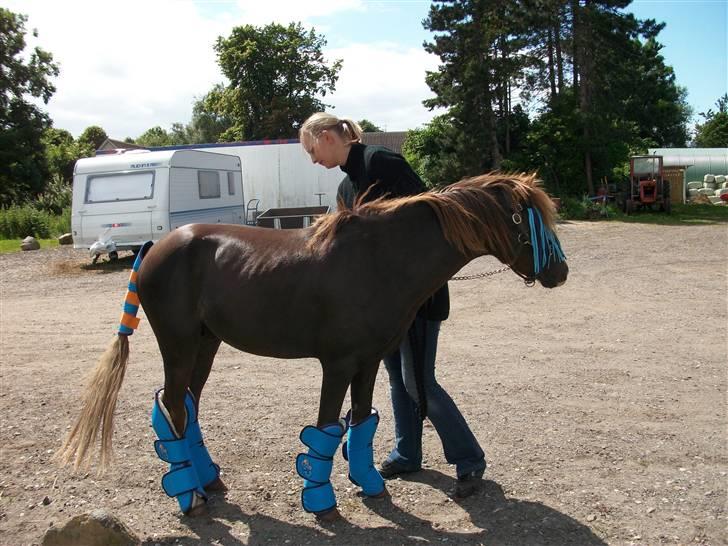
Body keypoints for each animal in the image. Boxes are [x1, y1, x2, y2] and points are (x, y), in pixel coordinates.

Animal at [57, 173, 568, 510]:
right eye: (525, 221)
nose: (560, 273)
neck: (380, 259)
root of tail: (154, 248)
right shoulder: (337, 365)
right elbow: (325, 430)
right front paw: (321, 501)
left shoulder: (368, 362)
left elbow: (361, 421)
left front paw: (371, 485)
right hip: (179, 345)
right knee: (175, 408)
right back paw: (192, 496)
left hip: (206, 344)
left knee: (187, 405)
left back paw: (210, 482)